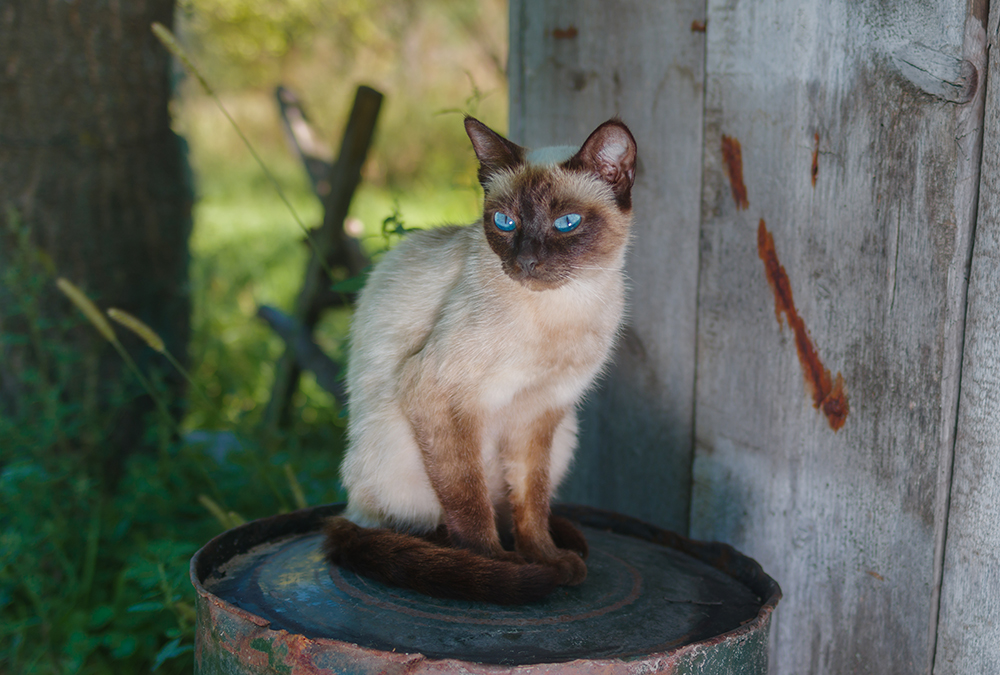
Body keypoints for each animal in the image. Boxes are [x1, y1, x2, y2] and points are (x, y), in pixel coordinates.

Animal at [324, 116, 636, 608]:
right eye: (504, 222)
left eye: (566, 223)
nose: (526, 262)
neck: (566, 307)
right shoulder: (439, 394)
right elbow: (468, 503)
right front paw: (502, 566)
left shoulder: (540, 411)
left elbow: (531, 503)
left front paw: (544, 557)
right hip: (398, 446)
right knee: (397, 524)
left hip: (565, 433)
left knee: (509, 506)